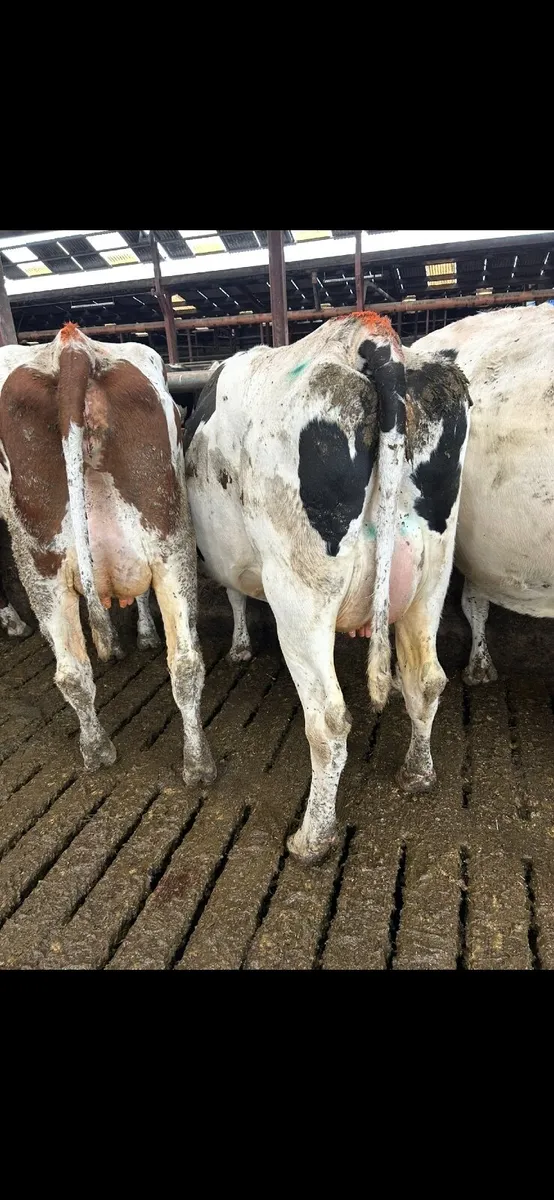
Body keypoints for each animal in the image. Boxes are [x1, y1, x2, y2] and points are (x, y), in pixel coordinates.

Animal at [0, 324, 215, 785]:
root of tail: (72, 347)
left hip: (41, 558)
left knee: (76, 669)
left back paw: (98, 750)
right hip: (170, 542)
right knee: (179, 663)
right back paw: (195, 764)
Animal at [184, 311, 472, 862]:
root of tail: (371, 339)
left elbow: (233, 594)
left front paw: (239, 646)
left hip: (301, 590)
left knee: (329, 722)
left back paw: (311, 838)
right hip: (434, 572)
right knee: (426, 679)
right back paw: (417, 774)